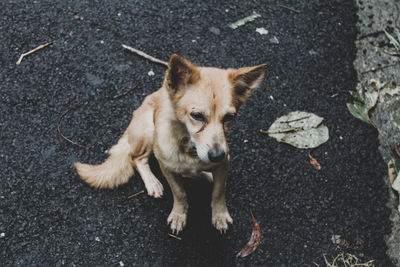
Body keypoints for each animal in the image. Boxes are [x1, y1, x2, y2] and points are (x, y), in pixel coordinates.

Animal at [76, 55, 268, 234]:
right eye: (197, 115)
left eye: (229, 117)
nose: (216, 155)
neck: (190, 148)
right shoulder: (166, 167)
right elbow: (180, 193)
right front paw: (179, 215)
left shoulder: (224, 163)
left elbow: (218, 192)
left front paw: (219, 215)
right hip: (148, 129)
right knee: (137, 159)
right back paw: (153, 182)